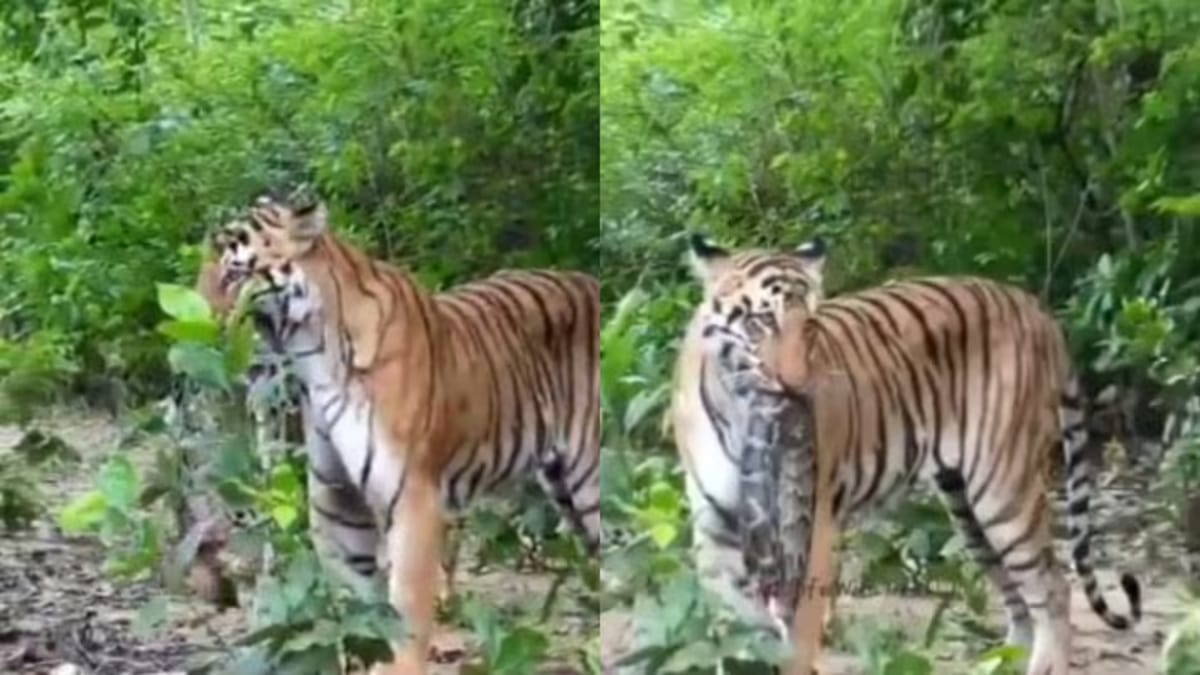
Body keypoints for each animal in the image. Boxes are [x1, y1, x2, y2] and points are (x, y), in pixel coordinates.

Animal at [203, 191, 600, 674]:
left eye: (233, 271)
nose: (199, 314)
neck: (312, 357)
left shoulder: (414, 498)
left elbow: (406, 615)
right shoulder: (338, 508)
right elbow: (360, 618)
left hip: (588, 478)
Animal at [670, 234, 1141, 675]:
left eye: (810, 325)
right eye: (763, 320)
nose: (798, 386)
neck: (742, 408)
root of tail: (1033, 306)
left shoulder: (813, 525)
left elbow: (796, 639)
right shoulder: (714, 528)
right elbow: (731, 629)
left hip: (1003, 491)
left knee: (1054, 589)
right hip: (965, 507)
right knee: (1017, 595)